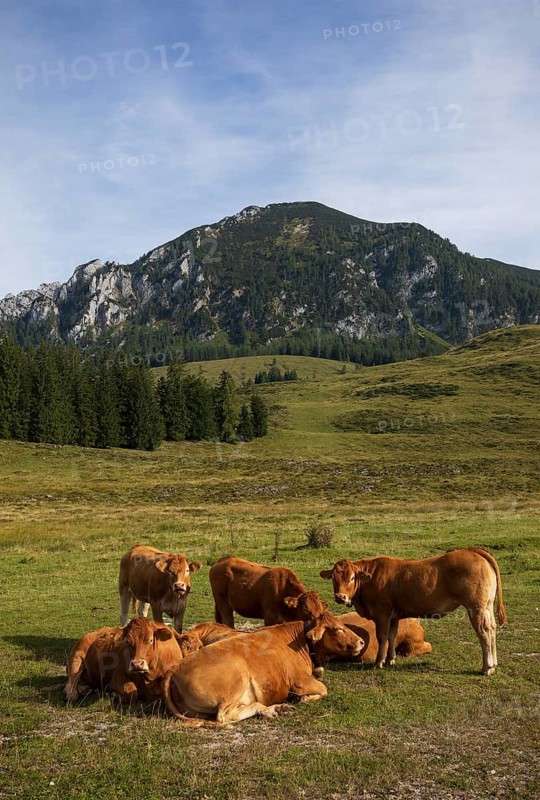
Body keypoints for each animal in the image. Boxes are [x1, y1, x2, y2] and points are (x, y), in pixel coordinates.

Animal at [65, 618, 202, 702]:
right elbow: (131, 692)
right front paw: (114, 694)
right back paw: (73, 693)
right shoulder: (118, 676)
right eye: (127, 641)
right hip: (76, 658)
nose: (137, 664)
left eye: (151, 640)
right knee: (71, 681)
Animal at [163, 613, 364, 726]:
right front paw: (304, 698)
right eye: (338, 629)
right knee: (225, 716)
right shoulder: (300, 680)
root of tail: (174, 669)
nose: (361, 642)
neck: (300, 643)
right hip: (236, 682)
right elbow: (323, 689)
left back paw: (276, 709)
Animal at [320, 547, 506, 675]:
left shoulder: (382, 613)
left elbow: (382, 637)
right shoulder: (394, 616)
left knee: (484, 632)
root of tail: (473, 550)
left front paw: (379, 662)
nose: (340, 597)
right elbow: (392, 636)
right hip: (487, 606)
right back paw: (494, 664)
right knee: (492, 629)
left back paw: (487, 667)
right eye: (333, 579)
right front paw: (391, 659)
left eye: (352, 578)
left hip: (476, 608)